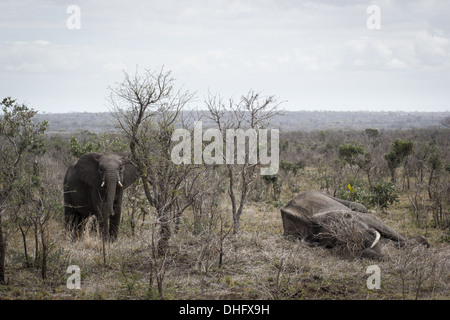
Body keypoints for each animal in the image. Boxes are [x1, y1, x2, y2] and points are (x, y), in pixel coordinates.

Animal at [280, 191, 430, 258]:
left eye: (348, 217)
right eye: (336, 239)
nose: (386, 256)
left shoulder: (362, 218)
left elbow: (380, 225)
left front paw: (422, 242)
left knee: (358, 206)